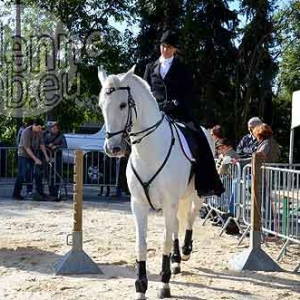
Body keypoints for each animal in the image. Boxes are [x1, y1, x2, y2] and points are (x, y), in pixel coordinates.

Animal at [99, 67, 214, 298]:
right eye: (101, 105)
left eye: (123, 105)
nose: (112, 148)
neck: (149, 152)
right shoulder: (138, 204)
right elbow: (142, 244)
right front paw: (141, 287)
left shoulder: (169, 203)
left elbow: (165, 240)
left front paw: (164, 285)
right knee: (178, 223)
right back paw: (177, 261)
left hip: (197, 194)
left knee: (189, 218)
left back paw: (185, 252)